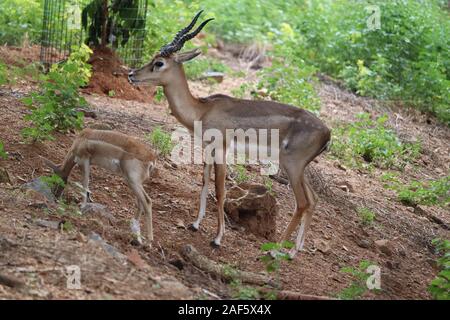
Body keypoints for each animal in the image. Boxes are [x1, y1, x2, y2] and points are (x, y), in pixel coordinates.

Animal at [128, 10, 332, 258]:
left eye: (159, 62)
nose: (131, 74)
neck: (202, 109)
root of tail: (328, 133)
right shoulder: (207, 148)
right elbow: (204, 182)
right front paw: (195, 224)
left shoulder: (221, 149)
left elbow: (220, 190)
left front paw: (217, 239)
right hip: (301, 168)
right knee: (314, 199)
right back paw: (293, 253)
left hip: (292, 164)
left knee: (302, 202)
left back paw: (274, 252)